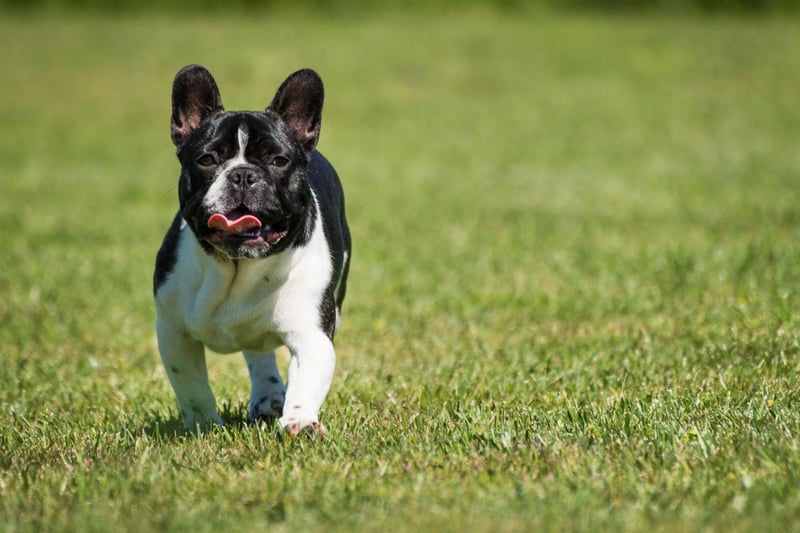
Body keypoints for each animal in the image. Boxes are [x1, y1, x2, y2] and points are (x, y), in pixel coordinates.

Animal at [153, 64, 350, 434]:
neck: (237, 269)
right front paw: (203, 424)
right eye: (207, 159)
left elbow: (307, 379)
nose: (243, 174)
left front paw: (300, 420)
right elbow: (191, 387)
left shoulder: (313, 334)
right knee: (258, 354)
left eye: (279, 160)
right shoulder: (174, 333)